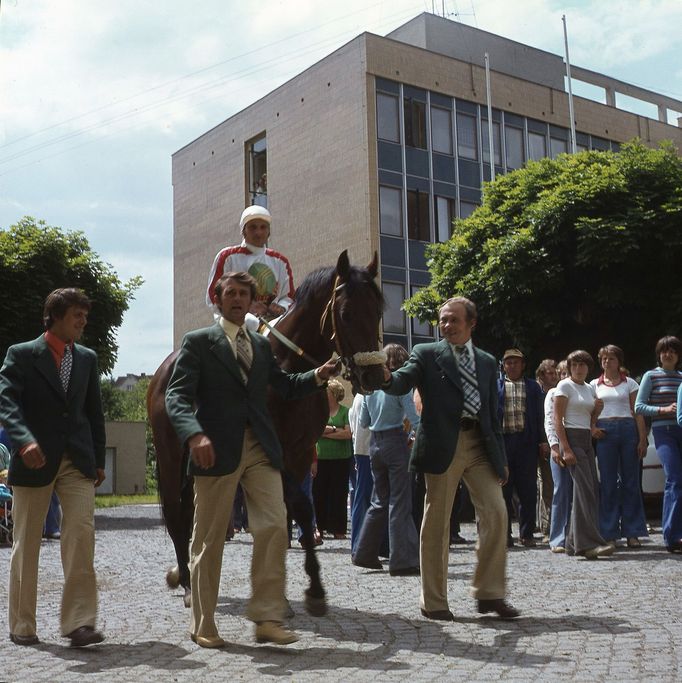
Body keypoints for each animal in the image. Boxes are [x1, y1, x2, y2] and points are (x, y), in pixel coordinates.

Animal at [146, 250, 386, 616]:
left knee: (191, 513)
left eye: (378, 310)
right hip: (171, 457)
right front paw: (313, 590)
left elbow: (287, 513)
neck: (288, 369)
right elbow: (300, 506)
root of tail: (162, 372)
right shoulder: (273, 452)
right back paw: (186, 583)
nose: (374, 375)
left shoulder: (300, 453)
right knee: (177, 514)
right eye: (345, 313)